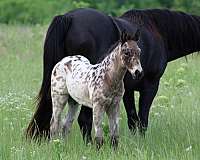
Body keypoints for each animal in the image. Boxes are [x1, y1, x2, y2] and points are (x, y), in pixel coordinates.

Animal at [26, 8, 200, 142]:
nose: (139, 72)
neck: (157, 31)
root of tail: (68, 17)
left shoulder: (127, 91)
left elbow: (132, 119)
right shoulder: (150, 86)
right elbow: (142, 120)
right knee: (84, 119)